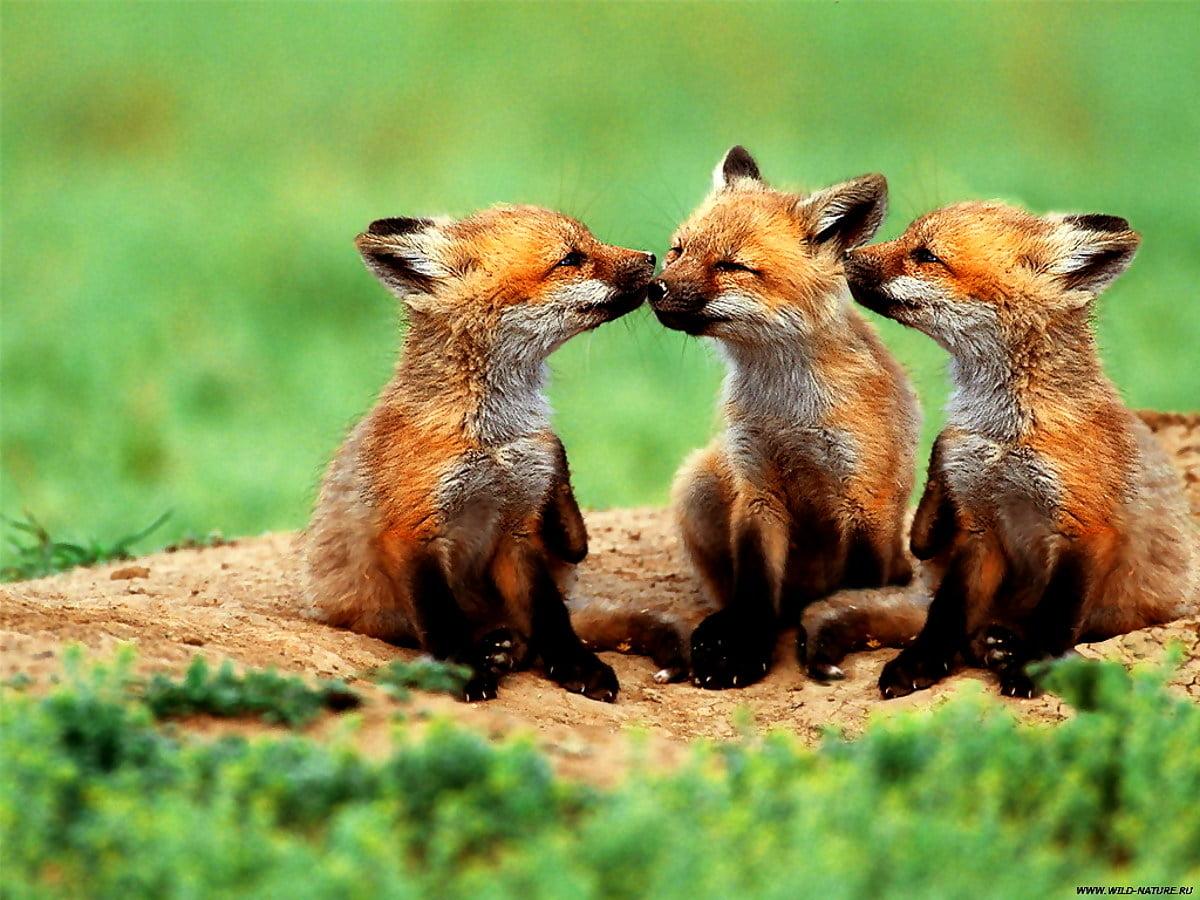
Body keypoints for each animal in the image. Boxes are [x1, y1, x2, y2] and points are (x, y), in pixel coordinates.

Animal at [301, 205, 661, 702]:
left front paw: (576, 666)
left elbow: (550, 614)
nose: (652, 257)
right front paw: (465, 672)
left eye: (590, 241)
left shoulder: (517, 528)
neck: (494, 439)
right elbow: (441, 619)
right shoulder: (410, 531)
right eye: (570, 259)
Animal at [649, 146, 922, 688]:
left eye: (732, 266)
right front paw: (743, 647)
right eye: (678, 250)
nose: (654, 287)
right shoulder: (756, 483)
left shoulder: (866, 498)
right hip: (699, 479)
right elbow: (755, 591)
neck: (786, 411)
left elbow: (856, 591)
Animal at [844, 201, 1200, 698]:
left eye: (926, 255)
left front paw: (1032, 667)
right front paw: (922, 661)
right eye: (908, 237)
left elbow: (1056, 616)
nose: (845, 255)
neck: (1004, 435)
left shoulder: (1085, 528)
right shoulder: (979, 523)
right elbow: (948, 611)